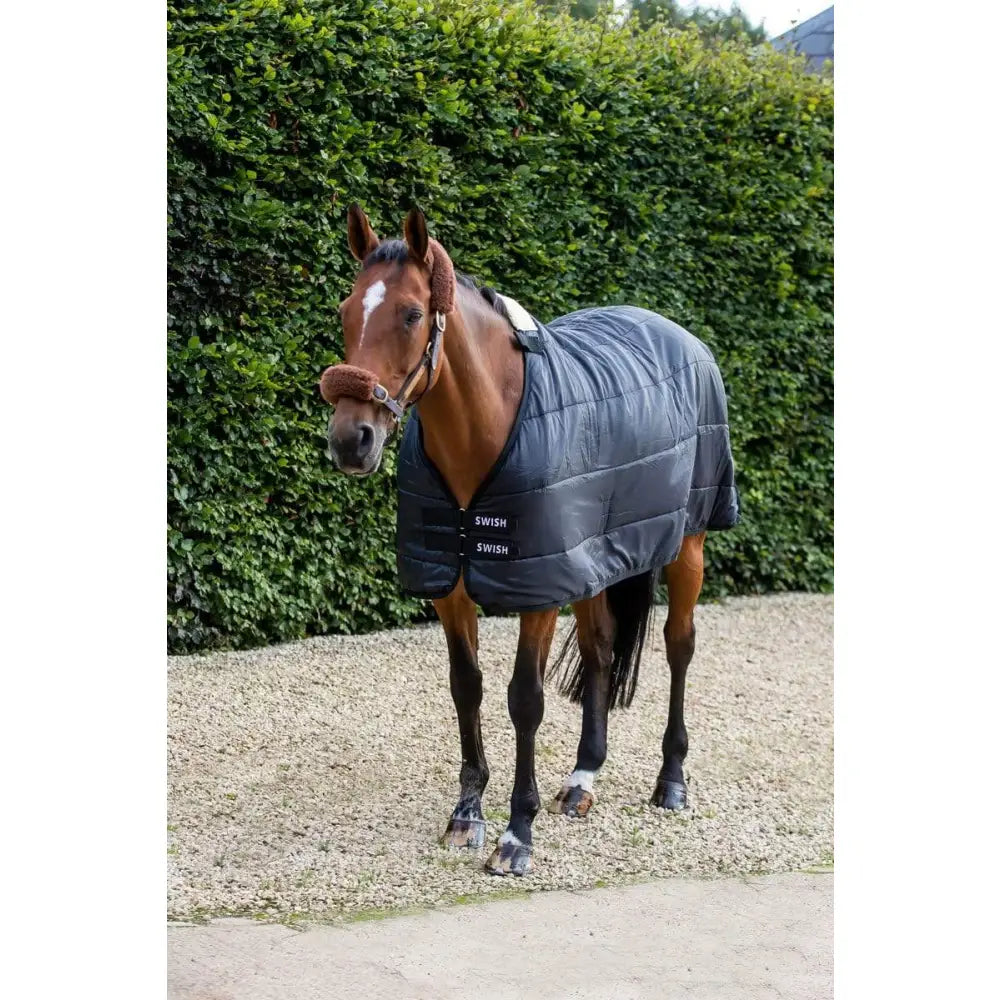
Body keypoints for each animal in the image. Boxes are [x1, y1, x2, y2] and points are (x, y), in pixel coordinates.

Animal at [319, 205, 739, 876]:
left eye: (410, 314)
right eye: (346, 310)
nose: (350, 440)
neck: (488, 430)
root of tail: (681, 335)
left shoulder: (537, 591)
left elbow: (525, 700)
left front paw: (517, 833)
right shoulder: (453, 586)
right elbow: (467, 687)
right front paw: (468, 815)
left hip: (688, 545)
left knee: (680, 646)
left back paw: (671, 780)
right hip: (594, 560)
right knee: (600, 649)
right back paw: (583, 778)